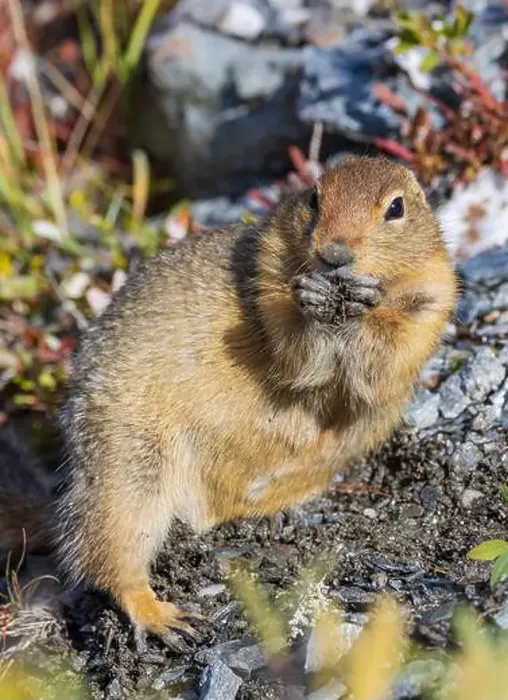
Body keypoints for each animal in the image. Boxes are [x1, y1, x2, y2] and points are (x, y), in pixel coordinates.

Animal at [0, 155, 456, 640]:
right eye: (314, 198)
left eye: (396, 208)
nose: (333, 255)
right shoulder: (268, 285)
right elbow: (296, 355)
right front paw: (312, 301)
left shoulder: (433, 296)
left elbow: (385, 362)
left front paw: (368, 305)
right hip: (129, 465)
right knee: (105, 553)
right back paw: (161, 614)